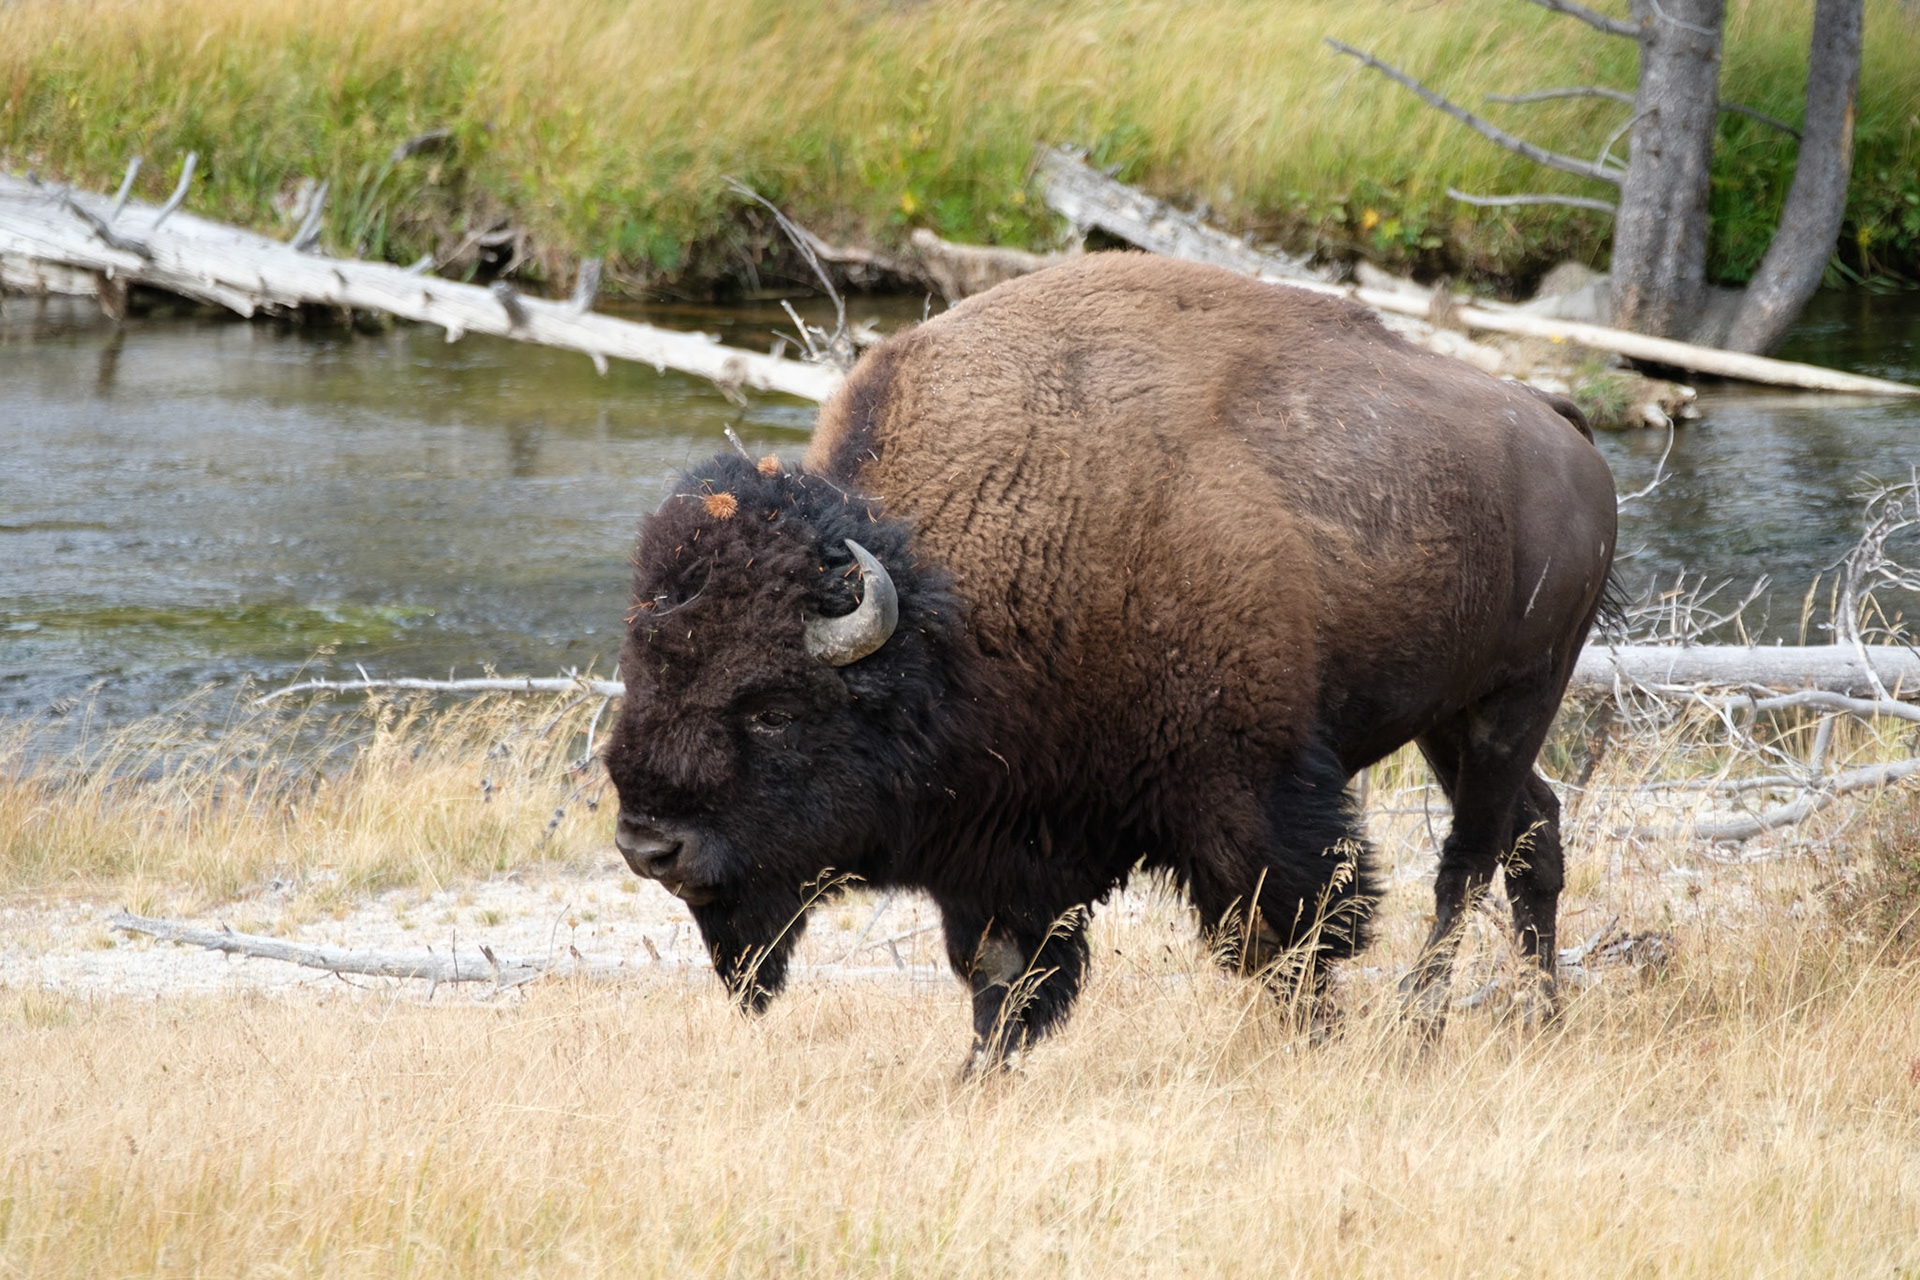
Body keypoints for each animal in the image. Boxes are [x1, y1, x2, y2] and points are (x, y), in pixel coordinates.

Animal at [604, 253, 1617, 1070]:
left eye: (773, 708)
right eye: (643, 673)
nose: (649, 845)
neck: (946, 611)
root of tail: (1558, 422)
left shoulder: (1245, 791)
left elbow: (1291, 935)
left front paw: (1319, 1047)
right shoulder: (995, 838)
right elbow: (1001, 973)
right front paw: (978, 1075)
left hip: (1518, 696)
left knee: (1469, 860)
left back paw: (1420, 1025)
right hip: (1454, 718)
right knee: (1534, 833)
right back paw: (1545, 1020)